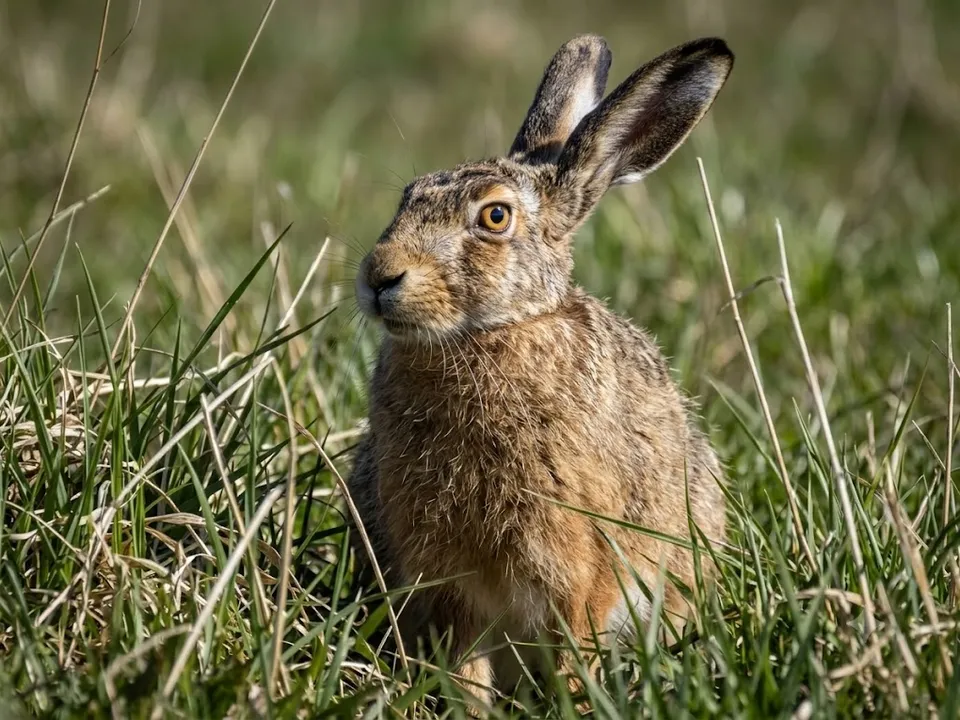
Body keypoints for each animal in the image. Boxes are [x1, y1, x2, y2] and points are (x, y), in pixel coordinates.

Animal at [346, 34, 733, 712]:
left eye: (495, 218)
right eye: (407, 197)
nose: (379, 276)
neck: (492, 333)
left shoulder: (579, 563)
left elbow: (578, 642)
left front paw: (579, 703)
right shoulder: (448, 582)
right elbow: (465, 667)